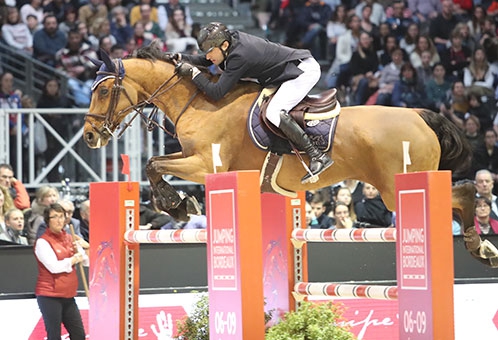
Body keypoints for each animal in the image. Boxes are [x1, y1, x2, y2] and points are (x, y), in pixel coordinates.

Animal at [84, 49, 474, 231]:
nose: (89, 136)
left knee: (461, 193)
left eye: (103, 90)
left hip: (399, 187)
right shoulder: (195, 161)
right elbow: (154, 165)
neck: (198, 102)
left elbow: (154, 165)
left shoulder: (206, 165)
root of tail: (419, 115)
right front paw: (178, 205)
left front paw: (177, 204)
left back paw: (477, 245)